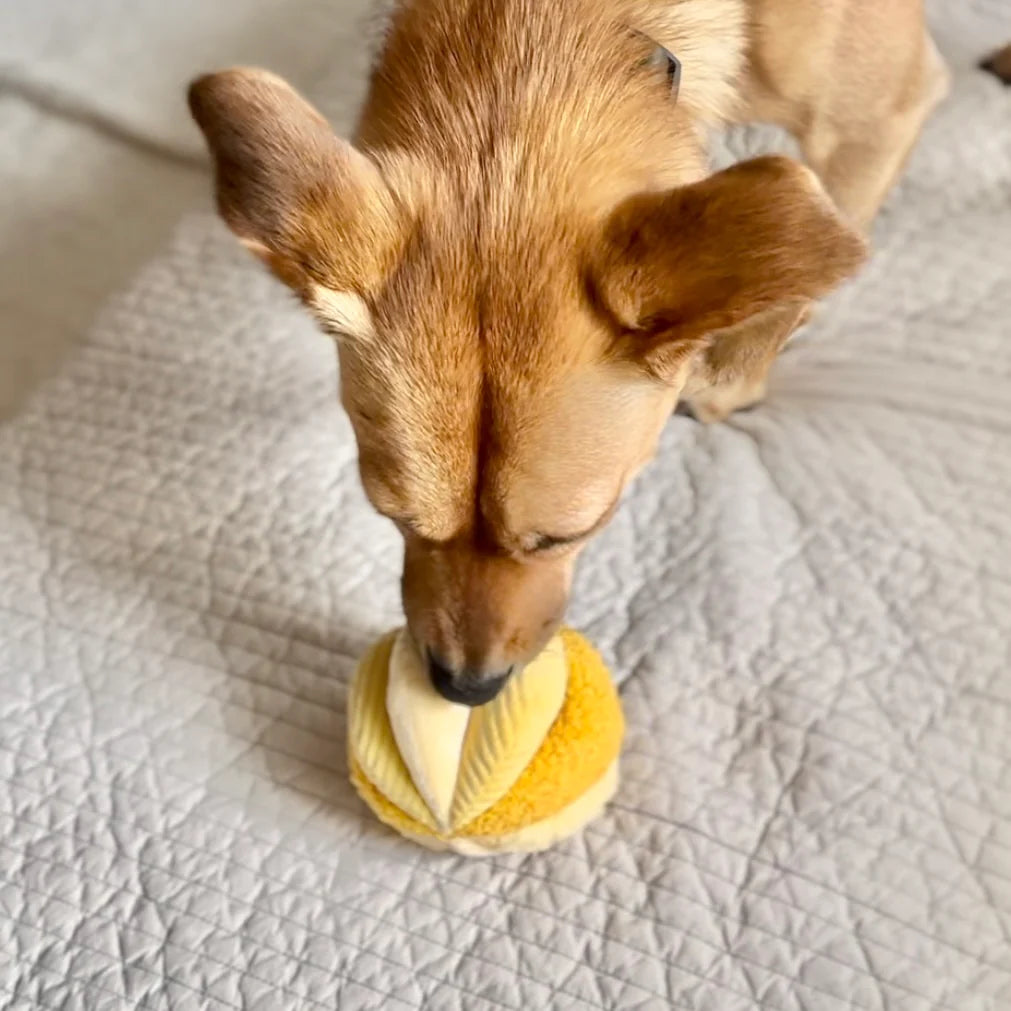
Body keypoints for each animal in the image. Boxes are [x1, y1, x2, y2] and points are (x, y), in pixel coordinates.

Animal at [188, 0, 946, 707]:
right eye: (392, 517)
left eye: (567, 534)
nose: (464, 689)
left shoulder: (879, 123)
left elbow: (806, 275)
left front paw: (731, 377)